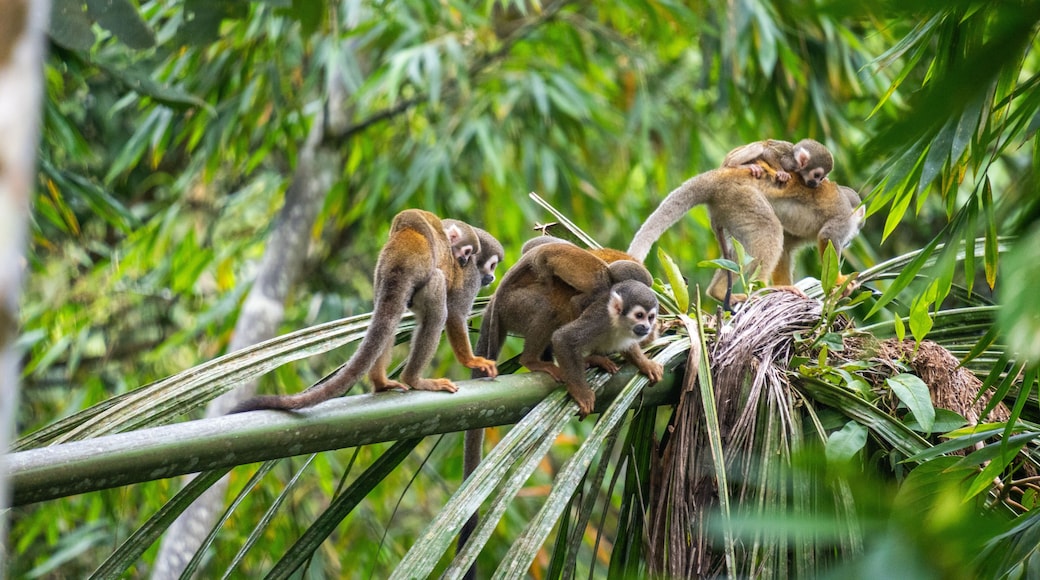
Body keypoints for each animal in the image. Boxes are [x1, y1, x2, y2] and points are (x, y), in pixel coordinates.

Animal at [230, 210, 502, 413]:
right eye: (491, 266)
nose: (491, 277)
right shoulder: (471, 278)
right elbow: (455, 314)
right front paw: (471, 360)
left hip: (381, 277)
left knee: (388, 320)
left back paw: (381, 382)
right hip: (423, 275)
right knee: (435, 310)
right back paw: (414, 379)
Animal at [627, 166, 864, 303]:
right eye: (859, 227)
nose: (851, 241)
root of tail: (721, 175)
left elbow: (787, 248)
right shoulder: (843, 219)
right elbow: (827, 237)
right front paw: (839, 281)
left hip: (727, 206)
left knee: (736, 250)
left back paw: (719, 292)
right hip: (743, 196)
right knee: (770, 229)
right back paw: (762, 287)